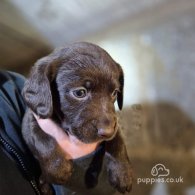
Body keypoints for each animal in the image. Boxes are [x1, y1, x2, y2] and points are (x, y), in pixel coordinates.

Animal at [22, 42, 133, 193]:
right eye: (80, 92)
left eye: (115, 93)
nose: (107, 132)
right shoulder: (31, 120)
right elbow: (42, 140)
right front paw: (57, 169)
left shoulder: (115, 125)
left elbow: (118, 141)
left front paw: (123, 173)